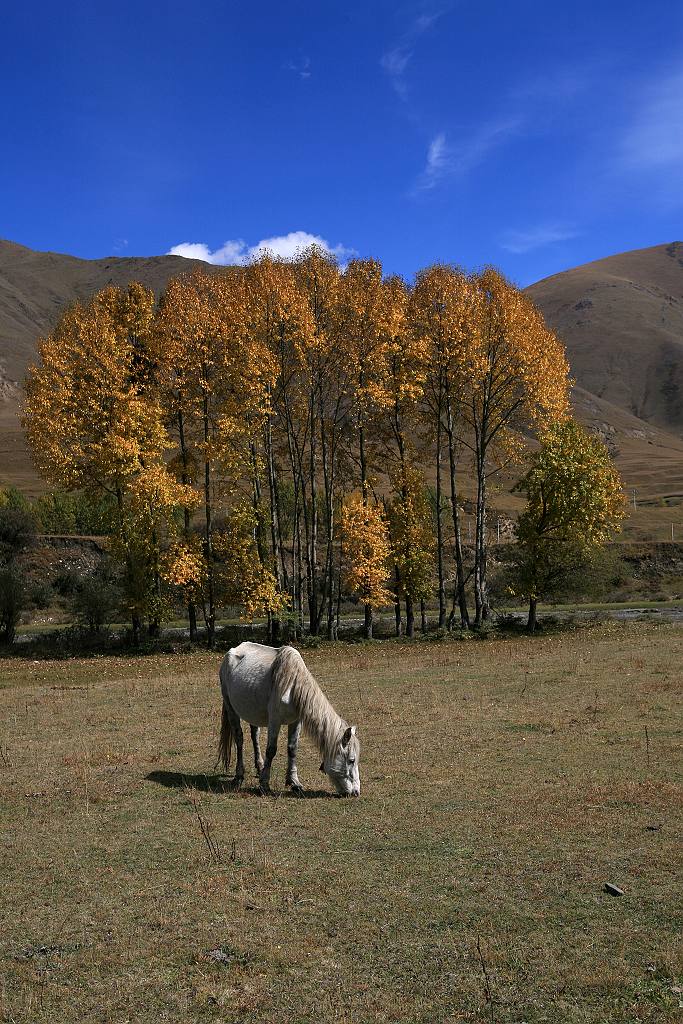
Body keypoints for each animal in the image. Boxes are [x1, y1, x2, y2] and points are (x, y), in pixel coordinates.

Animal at [219, 638, 360, 798]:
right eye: (351, 760)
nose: (356, 792)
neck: (293, 687)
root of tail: (233, 651)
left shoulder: (296, 721)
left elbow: (292, 749)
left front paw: (294, 782)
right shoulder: (275, 721)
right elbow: (271, 750)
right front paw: (264, 785)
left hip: (252, 711)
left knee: (255, 736)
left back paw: (259, 767)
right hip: (231, 708)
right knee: (239, 739)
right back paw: (239, 777)